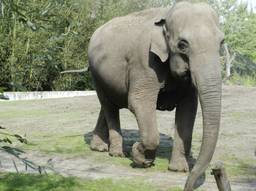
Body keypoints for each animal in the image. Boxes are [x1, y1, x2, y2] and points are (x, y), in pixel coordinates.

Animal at [87, 1, 223, 191]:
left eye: (221, 42)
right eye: (182, 44)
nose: (187, 185)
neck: (166, 15)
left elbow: (189, 109)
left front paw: (178, 169)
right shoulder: (144, 61)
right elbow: (139, 101)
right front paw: (141, 157)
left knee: (107, 104)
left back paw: (99, 148)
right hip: (96, 74)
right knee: (109, 105)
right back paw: (117, 153)